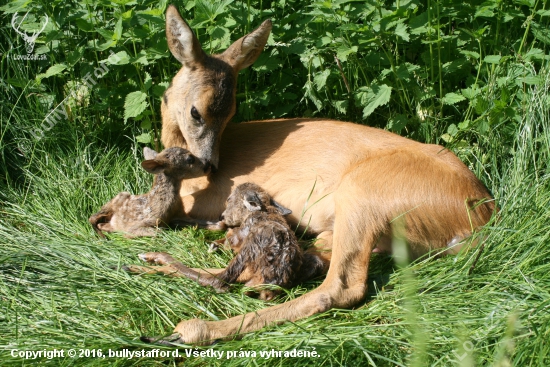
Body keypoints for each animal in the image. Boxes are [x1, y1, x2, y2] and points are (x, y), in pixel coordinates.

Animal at [137, 5, 496, 344]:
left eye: (228, 115)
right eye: (197, 113)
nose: (210, 166)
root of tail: (481, 214)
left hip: (363, 190)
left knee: (340, 287)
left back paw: (194, 327)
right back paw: (153, 263)